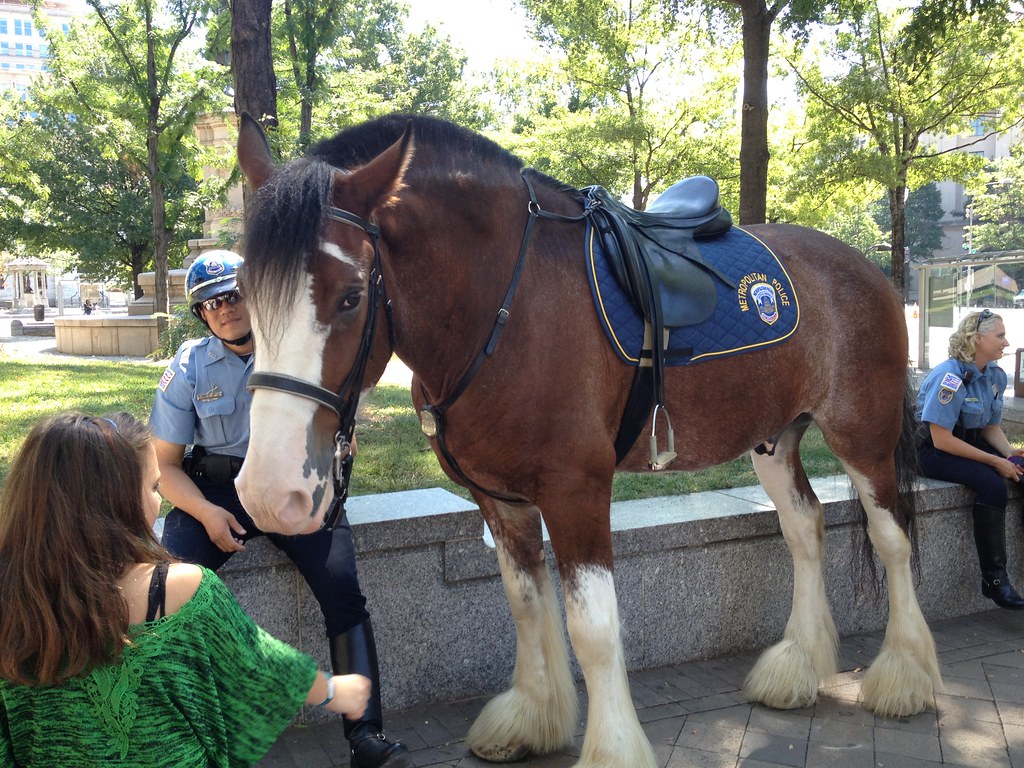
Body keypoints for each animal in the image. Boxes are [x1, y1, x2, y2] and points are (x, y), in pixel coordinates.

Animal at [233, 112, 942, 768]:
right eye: (242, 292)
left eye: (352, 296)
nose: (270, 492)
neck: (507, 307)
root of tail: (867, 267)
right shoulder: (500, 499)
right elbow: (526, 604)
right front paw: (531, 716)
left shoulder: (576, 490)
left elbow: (593, 627)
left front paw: (611, 747)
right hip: (773, 439)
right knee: (804, 527)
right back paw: (800, 665)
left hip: (863, 437)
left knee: (893, 538)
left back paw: (904, 675)